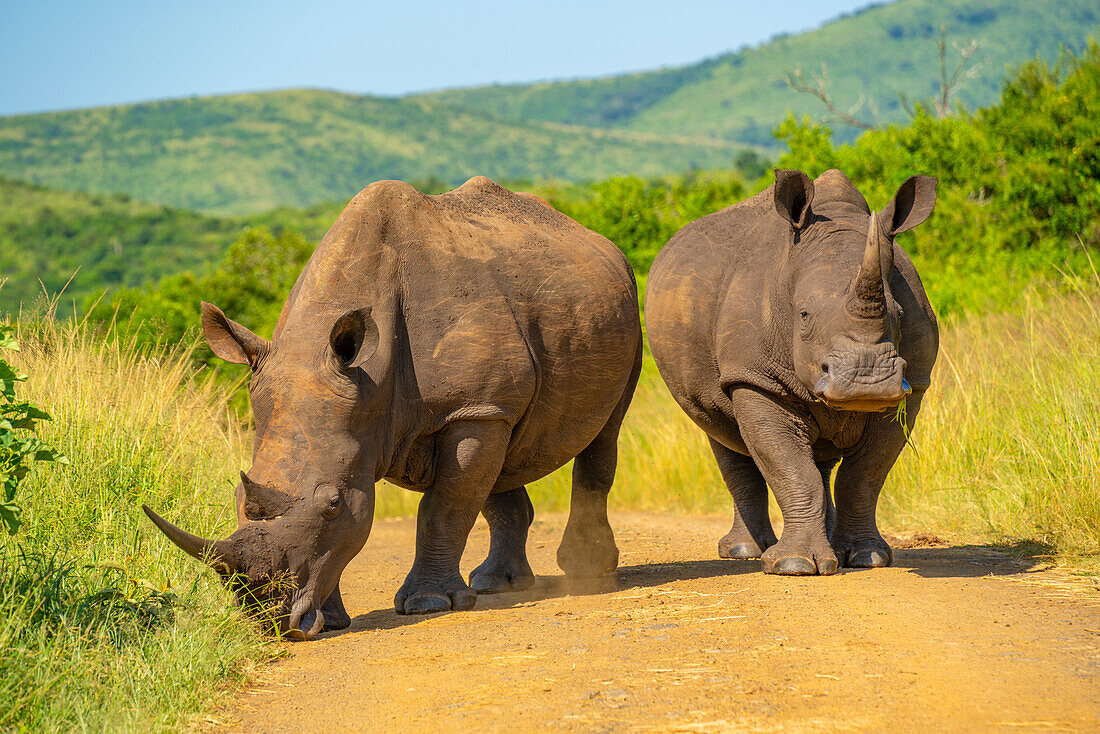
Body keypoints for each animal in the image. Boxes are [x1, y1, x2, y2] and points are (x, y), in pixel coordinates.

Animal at [146, 178, 642, 638]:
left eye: (332, 503)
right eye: (235, 496)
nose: (265, 616)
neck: (371, 381)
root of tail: (593, 237)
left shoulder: (468, 408)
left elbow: (444, 507)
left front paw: (427, 604)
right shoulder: (455, 409)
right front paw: (330, 622)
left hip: (624, 311)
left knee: (603, 436)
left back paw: (586, 571)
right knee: (504, 456)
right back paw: (496, 584)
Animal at [646, 169, 941, 576]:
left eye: (898, 314)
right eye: (803, 315)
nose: (866, 379)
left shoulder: (914, 386)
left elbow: (865, 474)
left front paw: (868, 558)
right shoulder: (755, 376)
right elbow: (788, 467)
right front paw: (794, 565)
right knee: (723, 435)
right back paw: (745, 552)